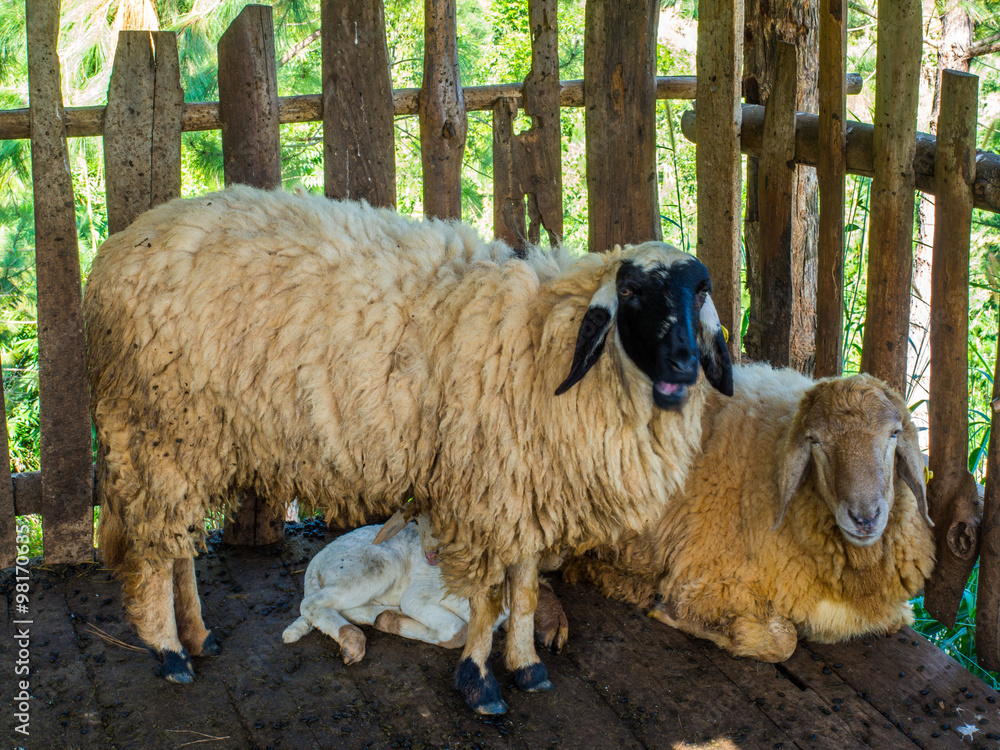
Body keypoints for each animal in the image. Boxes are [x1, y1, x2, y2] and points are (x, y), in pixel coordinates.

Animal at [282, 512, 568, 662]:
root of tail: (320, 555)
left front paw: (389, 620)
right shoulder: (418, 596)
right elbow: (458, 631)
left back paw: (380, 617)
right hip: (377, 566)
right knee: (312, 603)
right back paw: (352, 640)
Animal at [563, 366, 936, 662]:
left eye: (894, 434)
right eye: (815, 440)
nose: (864, 517)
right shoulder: (709, 579)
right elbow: (783, 642)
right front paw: (687, 620)